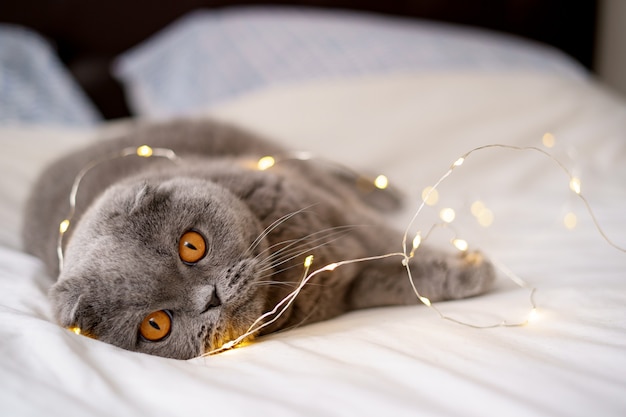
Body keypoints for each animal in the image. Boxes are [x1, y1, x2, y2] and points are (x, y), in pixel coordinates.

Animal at [22, 118, 492, 360]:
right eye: (155, 325)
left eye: (191, 245)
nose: (209, 298)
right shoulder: (351, 287)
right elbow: (399, 279)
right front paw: (468, 274)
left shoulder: (336, 209)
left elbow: (396, 241)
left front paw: (476, 267)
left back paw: (386, 192)